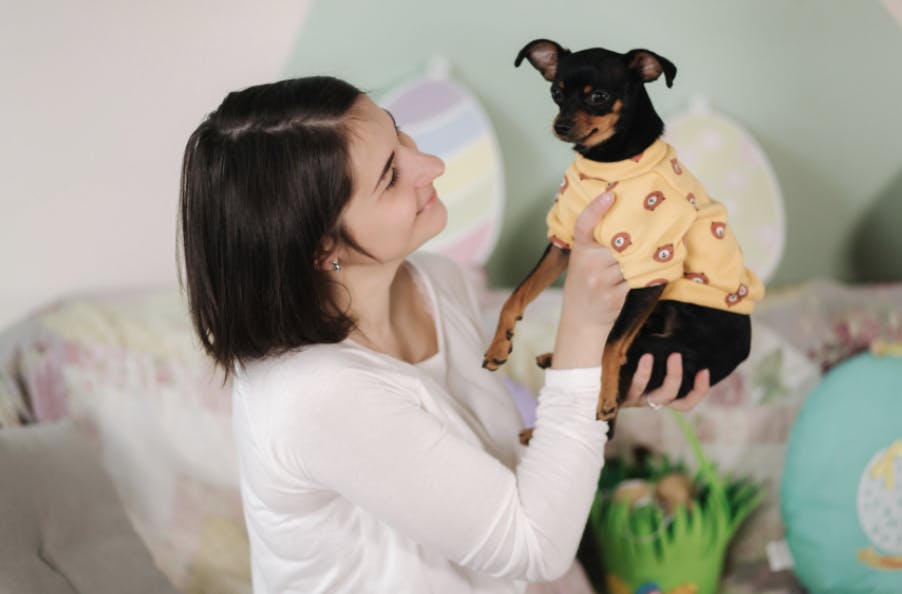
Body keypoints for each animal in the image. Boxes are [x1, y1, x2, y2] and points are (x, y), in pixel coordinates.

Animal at [484, 40, 768, 430]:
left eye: (599, 97)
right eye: (556, 93)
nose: (561, 125)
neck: (607, 163)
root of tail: (745, 346)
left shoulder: (653, 268)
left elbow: (611, 344)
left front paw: (604, 397)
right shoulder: (564, 240)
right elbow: (517, 294)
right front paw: (498, 345)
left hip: (662, 349)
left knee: (620, 362)